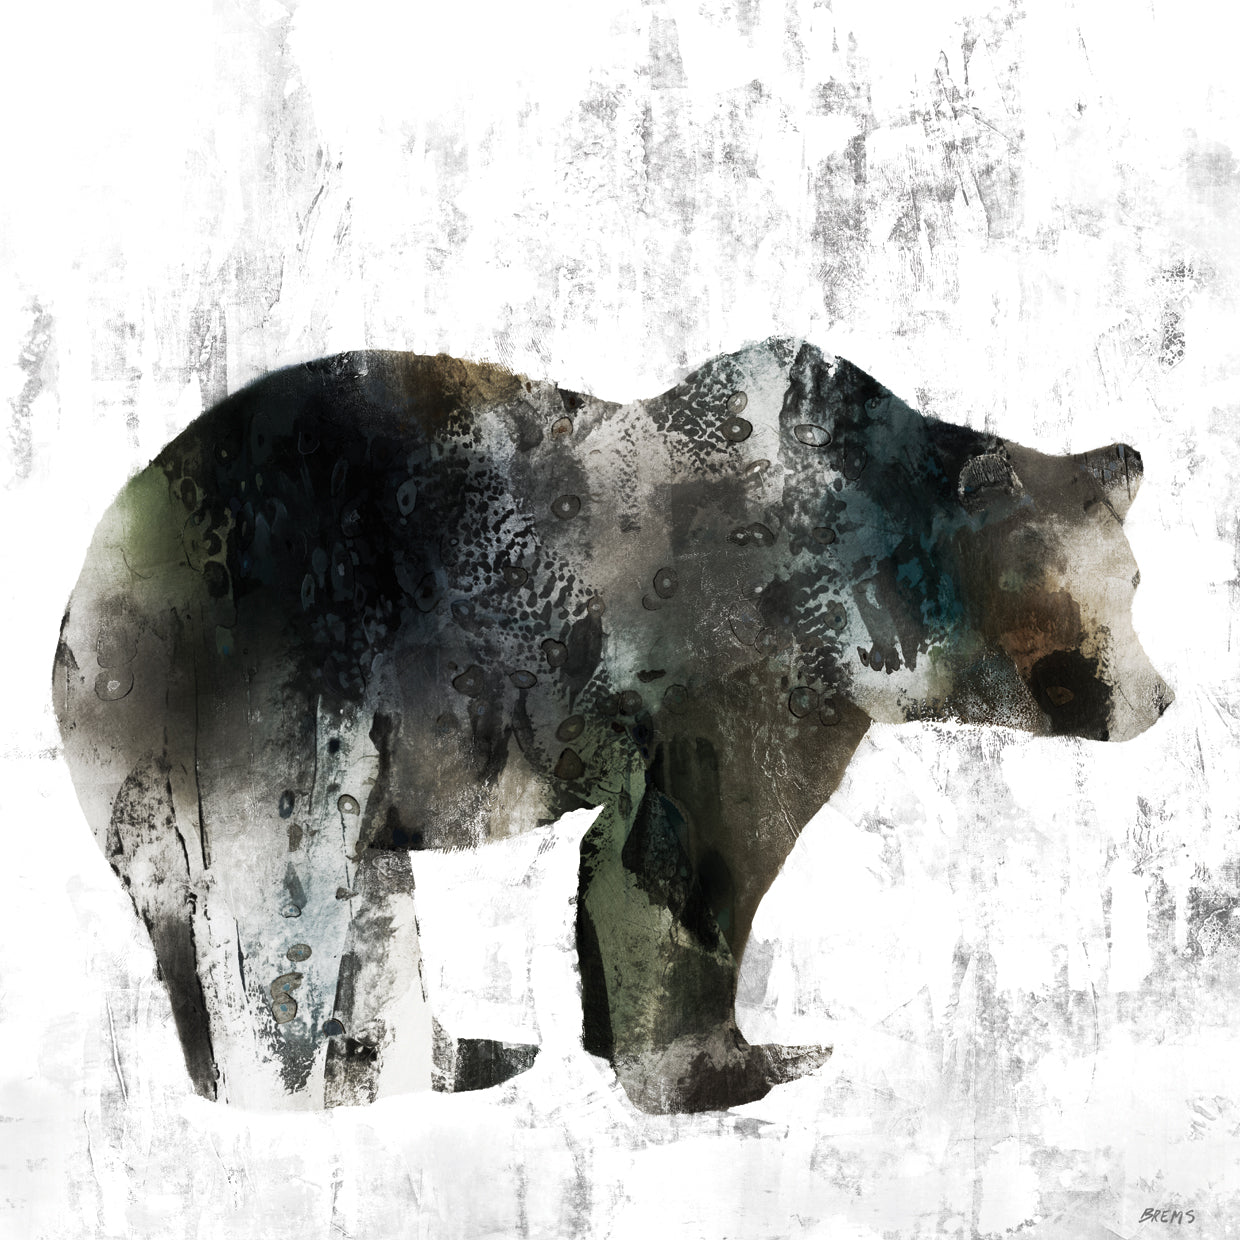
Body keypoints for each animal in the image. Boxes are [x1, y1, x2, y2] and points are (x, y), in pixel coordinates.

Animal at [52, 337, 1172, 1113]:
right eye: (1098, 591)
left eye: (1135, 581)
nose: (1157, 696)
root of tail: (93, 585)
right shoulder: (751, 664)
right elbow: (697, 853)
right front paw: (739, 1065)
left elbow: (622, 855)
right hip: (283, 673)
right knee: (281, 885)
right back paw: (301, 1086)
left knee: (356, 896)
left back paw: (449, 1056)